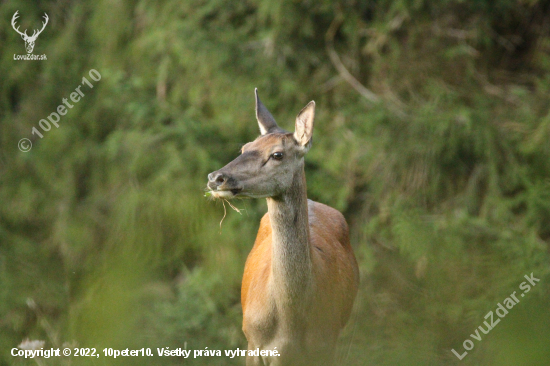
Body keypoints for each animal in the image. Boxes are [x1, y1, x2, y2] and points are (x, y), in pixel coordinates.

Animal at [208, 89, 362, 366]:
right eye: (245, 147)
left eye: (277, 154)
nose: (216, 178)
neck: (291, 322)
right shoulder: (253, 342)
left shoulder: (327, 344)